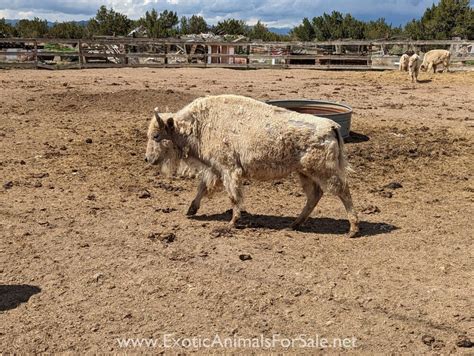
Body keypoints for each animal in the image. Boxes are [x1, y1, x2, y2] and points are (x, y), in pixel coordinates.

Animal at [145, 96, 360, 238]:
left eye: (156, 136)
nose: (148, 158)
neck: (199, 124)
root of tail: (332, 127)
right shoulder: (215, 169)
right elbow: (202, 188)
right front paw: (190, 210)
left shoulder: (229, 170)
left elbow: (233, 196)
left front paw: (233, 222)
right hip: (304, 173)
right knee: (314, 195)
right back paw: (293, 225)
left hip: (324, 172)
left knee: (343, 191)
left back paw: (352, 230)